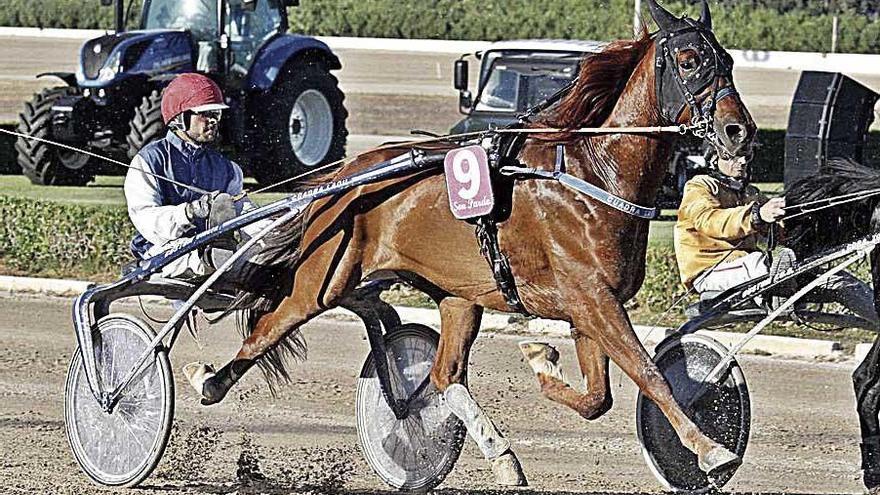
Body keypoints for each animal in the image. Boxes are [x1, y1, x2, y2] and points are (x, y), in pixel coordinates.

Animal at [186, 0, 756, 488]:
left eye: (728, 60)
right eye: (688, 60)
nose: (739, 131)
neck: (592, 171)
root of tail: (349, 173)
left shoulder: (590, 306)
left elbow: (598, 397)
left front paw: (540, 360)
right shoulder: (592, 300)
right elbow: (649, 372)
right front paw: (711, 450)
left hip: (459, 296)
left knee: (443, 375)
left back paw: (500, 456)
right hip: (322, 281)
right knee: (267, 326)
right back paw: (204, 380)